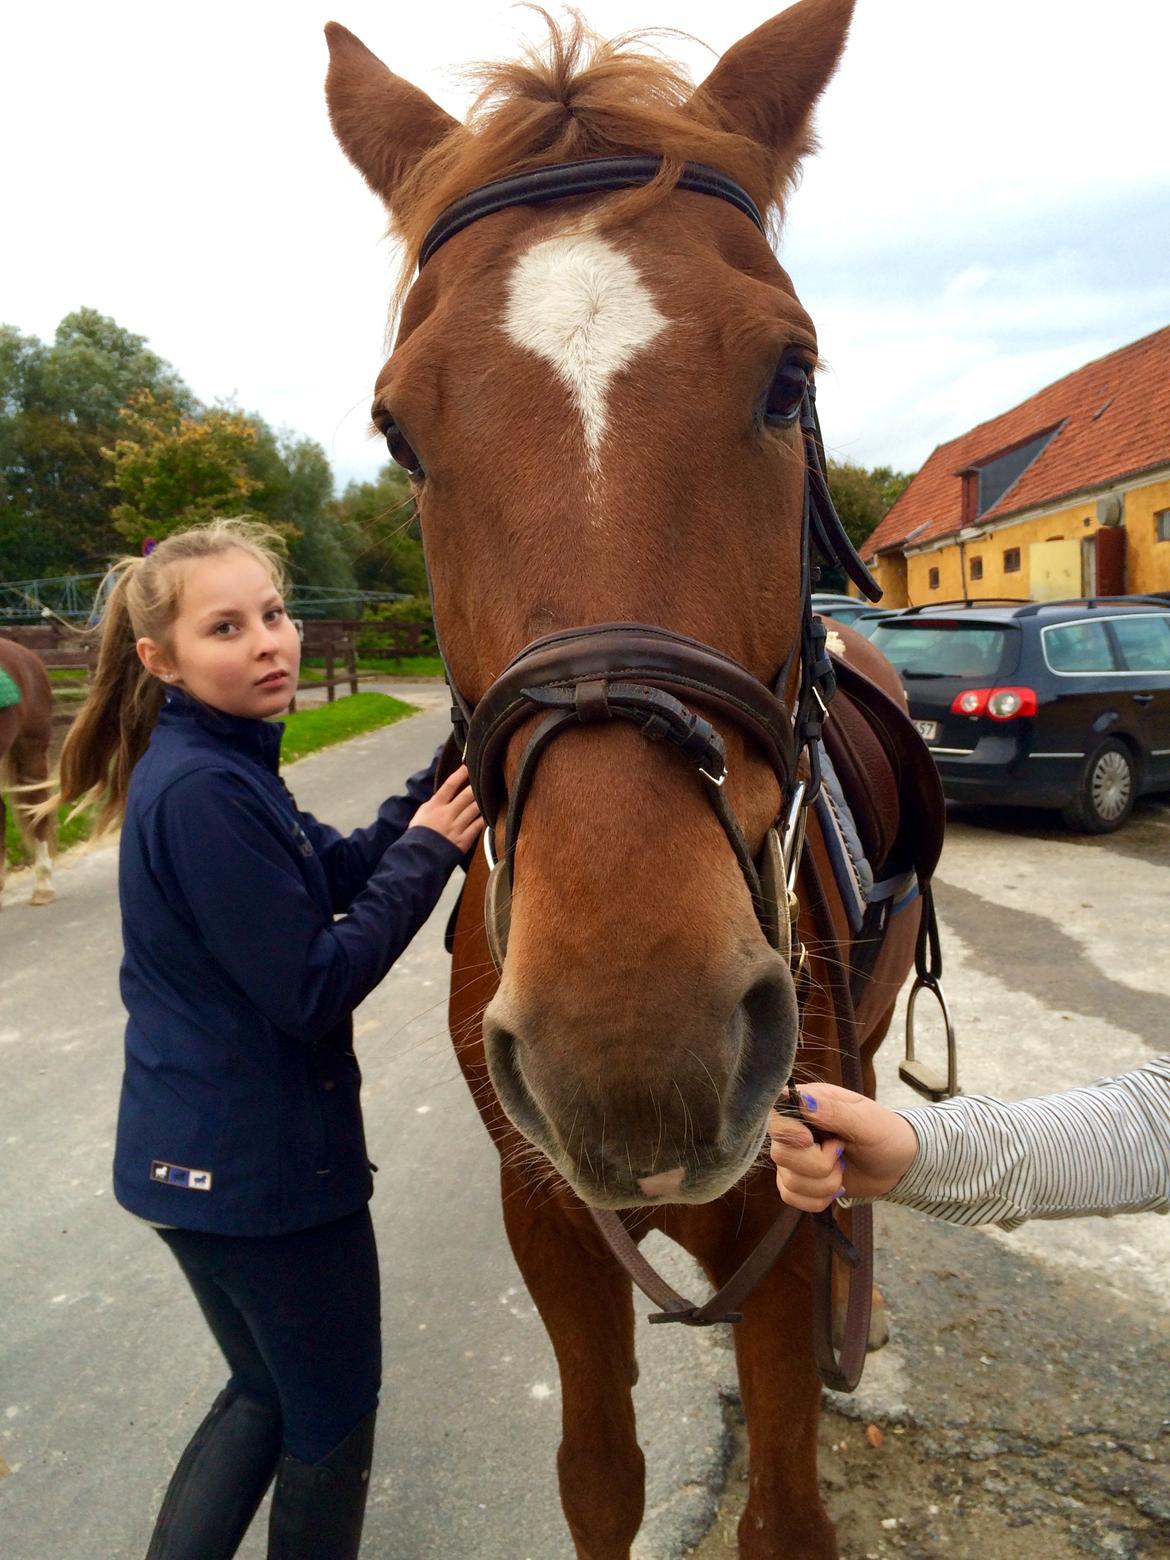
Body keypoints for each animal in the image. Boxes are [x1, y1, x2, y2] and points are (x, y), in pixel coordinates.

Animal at [322, 6, 935, 1553]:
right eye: (399, 433)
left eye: (790, 379)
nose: (636, 1048)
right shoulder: (545, 1218)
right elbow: (597, 1477)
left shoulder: (788, 1210)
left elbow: (783, 1508)